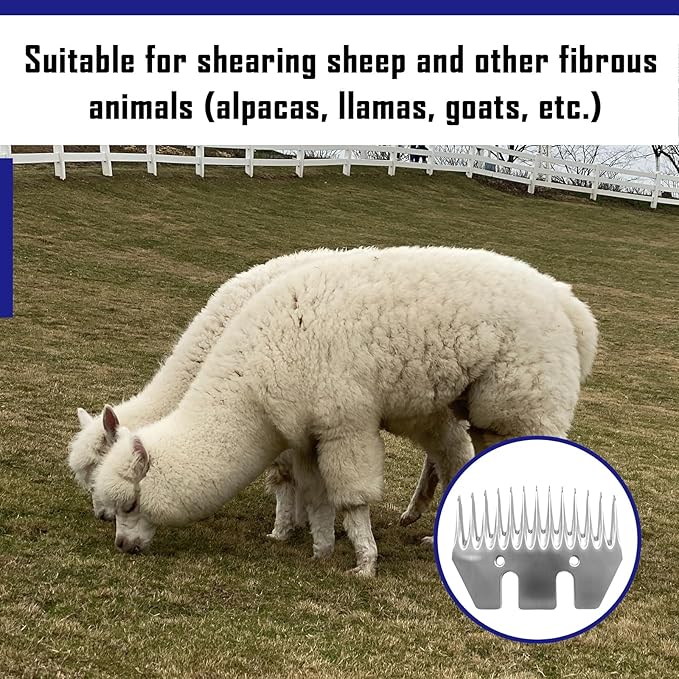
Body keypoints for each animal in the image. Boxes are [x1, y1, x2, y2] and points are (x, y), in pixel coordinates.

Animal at [92, 246, 597, 576]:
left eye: (131, 503)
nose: (121, 543)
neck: (253, 383)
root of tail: (572, 308)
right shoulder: (303, 431)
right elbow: (314, 495)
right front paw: (318, 548)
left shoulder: (343, 421)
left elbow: (351, 496)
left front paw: (364, 562)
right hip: (476, 405)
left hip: (523, 399)